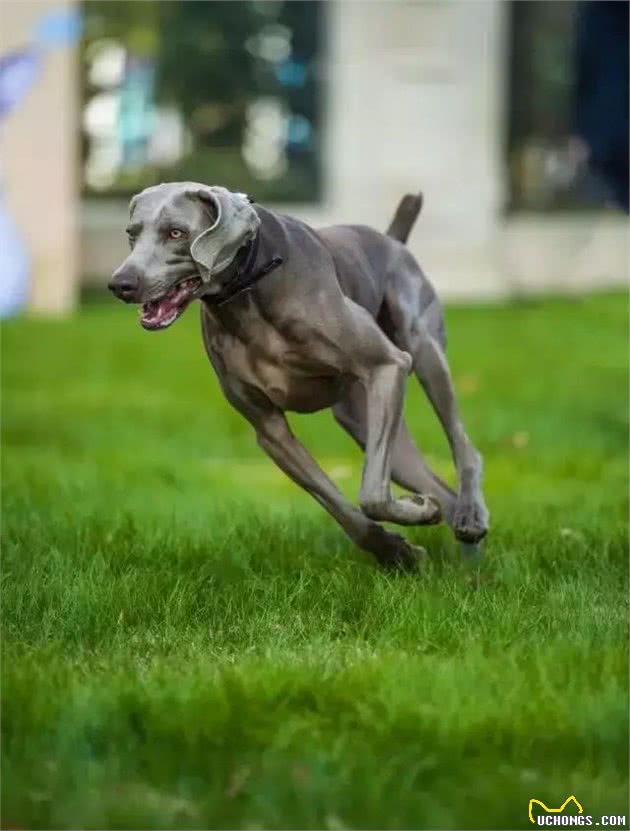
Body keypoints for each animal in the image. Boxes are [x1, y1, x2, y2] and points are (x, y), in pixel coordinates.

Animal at [111, 184, 492, 568]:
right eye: (131, 233)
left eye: (176, 233)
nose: (120, 284)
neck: (249, 291)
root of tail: (391, 240)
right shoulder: (270, 431)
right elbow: (341, 508)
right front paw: (399, 549)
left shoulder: (388, 365)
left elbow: (371, 495)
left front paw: (416, 516)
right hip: (362, 417)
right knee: (439, 488)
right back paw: (466, 558)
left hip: (422, 351)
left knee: (464, 447)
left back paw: (471, 519)